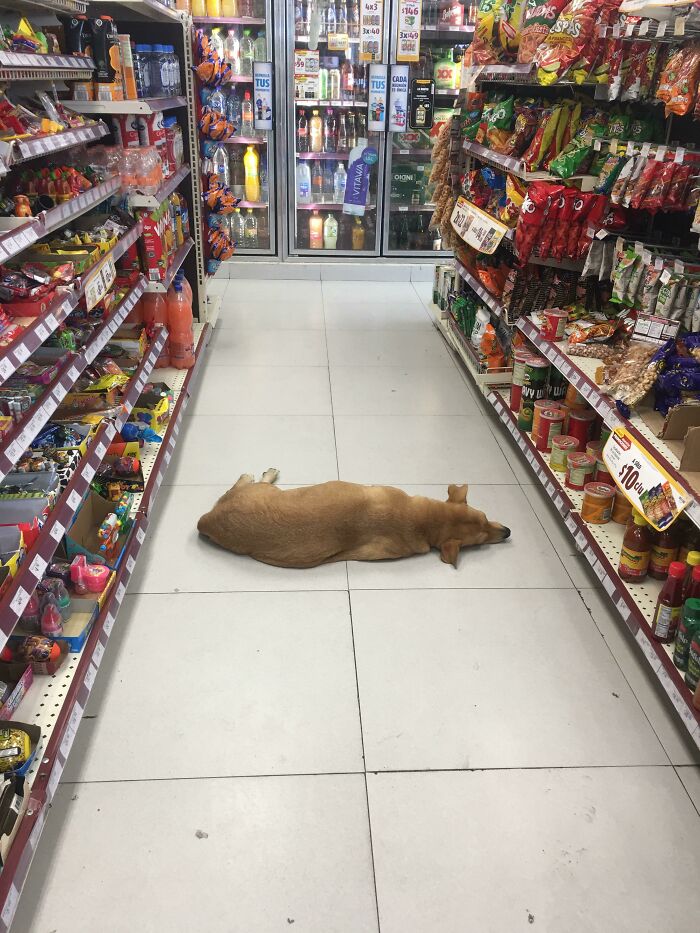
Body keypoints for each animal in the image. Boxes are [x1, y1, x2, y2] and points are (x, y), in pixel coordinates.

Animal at [197, 470, 508, 564]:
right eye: (480, 541)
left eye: (486, 518)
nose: (508, 532)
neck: (423, 520)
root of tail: (207, 520)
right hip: (258, 490)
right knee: (245, 480)